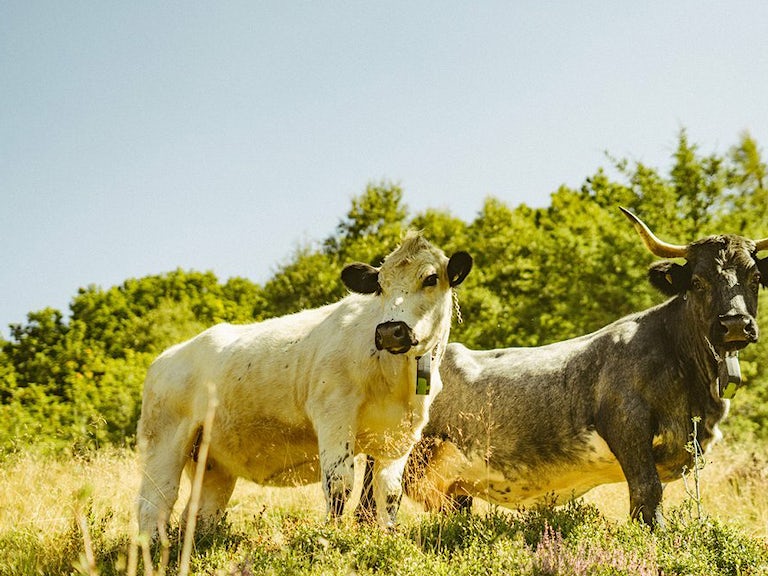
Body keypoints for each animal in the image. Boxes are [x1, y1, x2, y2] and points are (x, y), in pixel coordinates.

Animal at [136, 232, 472, 536]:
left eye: (431, 278)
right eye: (380, 285)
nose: (391, 331)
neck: (396, 373)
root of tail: (167, 356)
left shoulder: (401, 434)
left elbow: (388, 492)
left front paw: (388, 535)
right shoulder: (333, 413)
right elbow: (339, 483)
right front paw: (333, 537)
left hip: (213, 462)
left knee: (201, 512)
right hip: (163, 442)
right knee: (154, 502)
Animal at [356, 208, 764, 528]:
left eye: (755, 278)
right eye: (696, 281)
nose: (735, 325)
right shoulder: (627, 428)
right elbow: (647, 501)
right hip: (389, 451)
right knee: (367, 506)